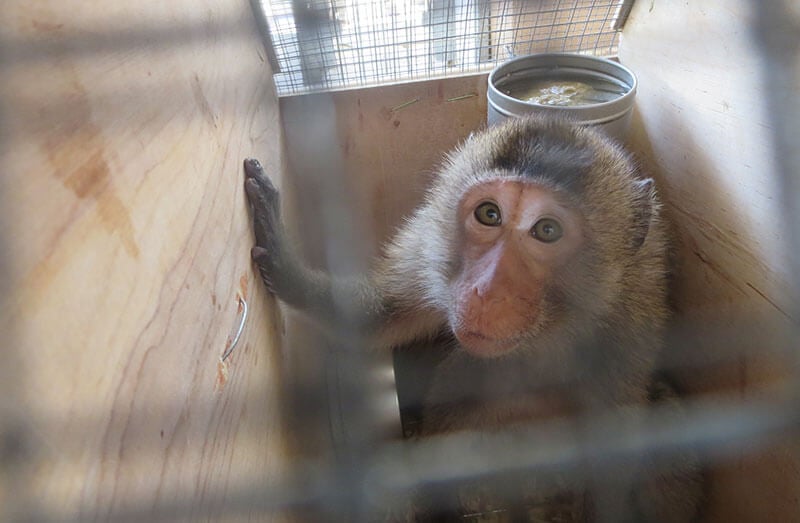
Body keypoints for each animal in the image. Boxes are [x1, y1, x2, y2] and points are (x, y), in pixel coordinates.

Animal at [243, 115, 704, 522]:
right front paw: (284, 260)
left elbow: (613, 450)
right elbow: (379, 317)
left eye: (547, 230)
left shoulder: (631, 317)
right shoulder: (430, 245)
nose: (486, 290)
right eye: (489, 214)